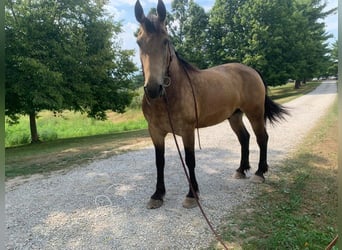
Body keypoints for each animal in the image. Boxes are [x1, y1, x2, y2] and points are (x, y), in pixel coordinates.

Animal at [134, 0, 288, 209]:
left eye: (165, 40)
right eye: (139, 42)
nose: (153, 89)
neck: (168, 97)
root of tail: (251, 69)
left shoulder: (187, 130)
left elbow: (190, 160)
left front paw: (192, 195)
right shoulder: (155, 131)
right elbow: (160, 162)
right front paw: (157, 194)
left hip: (254, 113)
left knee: (261, 138)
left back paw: (259, 173)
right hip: (235, 116)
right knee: (245, 138)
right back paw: (241, 170)